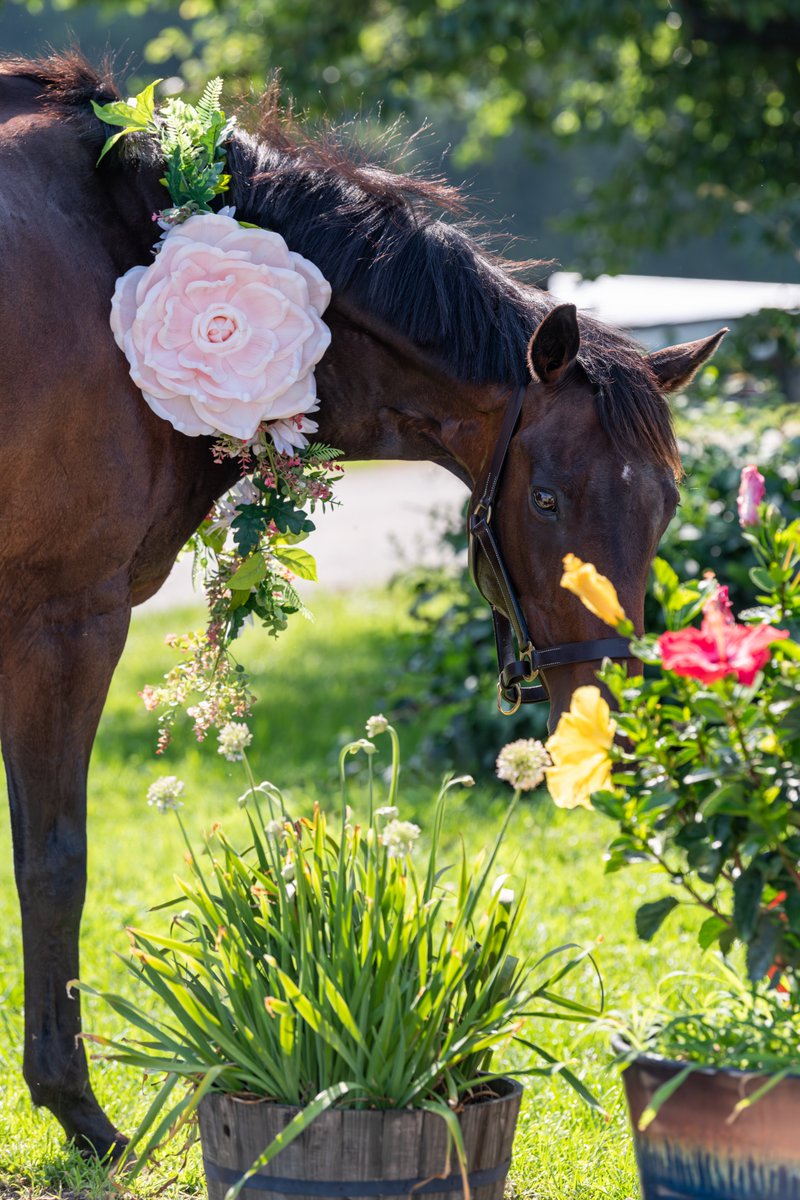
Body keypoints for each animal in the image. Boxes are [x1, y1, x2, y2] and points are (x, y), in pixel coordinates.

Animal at [0, 51, 724, 1159]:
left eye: (667, 505)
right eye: (546, 499)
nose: (597, 719)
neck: (122, 243)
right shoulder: (63, 622)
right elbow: (53, 862)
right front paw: (78, 1113)